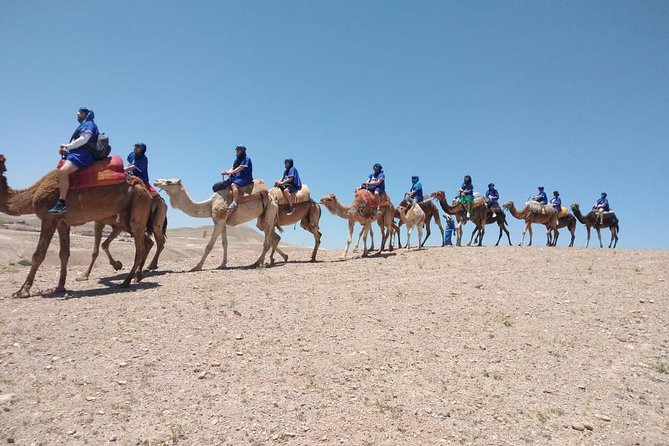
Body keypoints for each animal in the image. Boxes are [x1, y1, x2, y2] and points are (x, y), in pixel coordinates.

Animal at [0, 155, 153, 298]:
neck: (34, 194)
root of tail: (144, 189)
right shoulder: (62, 223)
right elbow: (64, 254)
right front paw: (60, 287)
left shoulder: (49, 218)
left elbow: (38, 255)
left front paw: (23, 291)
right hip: (126, 219)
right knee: (145, 242)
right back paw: (136, 275)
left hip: (138, 209)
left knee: (139, 249)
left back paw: (126, 282)